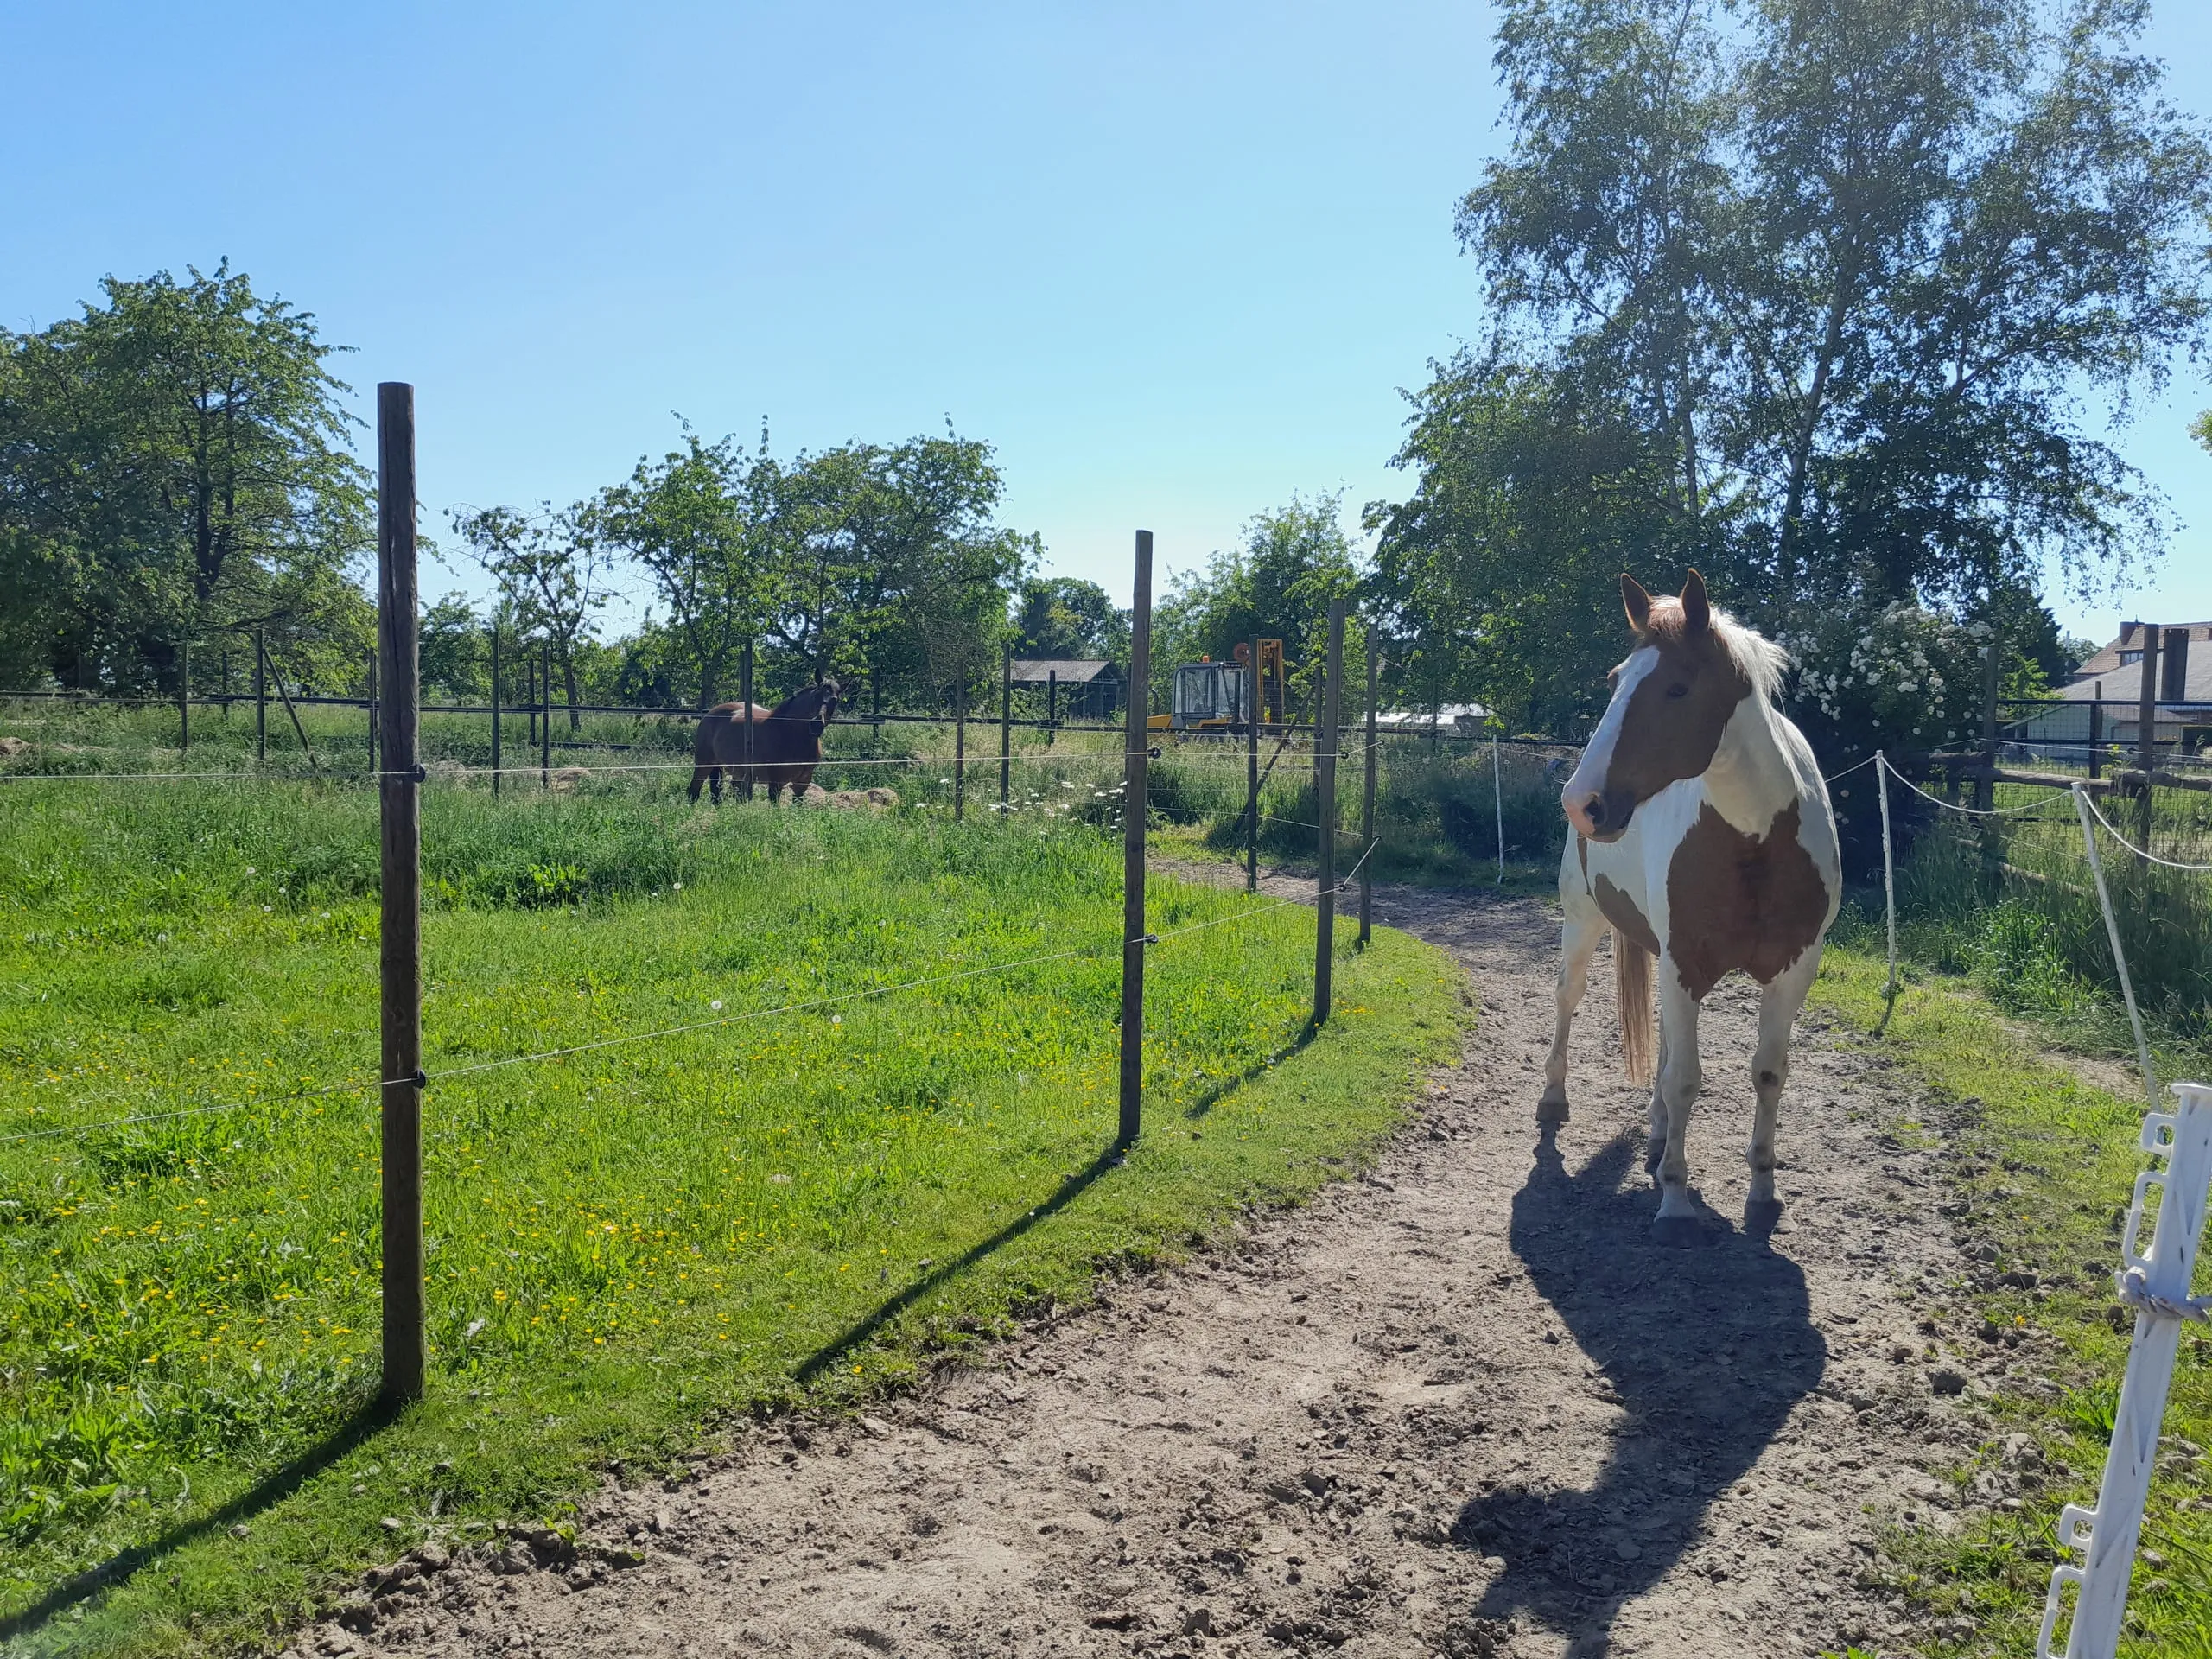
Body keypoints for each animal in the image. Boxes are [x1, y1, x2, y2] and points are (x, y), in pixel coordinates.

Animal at [688, 681, 842, 804]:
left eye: (835, 700)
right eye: (816, 697)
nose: (816, 725)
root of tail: (709, 714)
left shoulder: (803, 782)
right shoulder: (775, 781)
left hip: (736, 772)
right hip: (704, 764)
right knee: (694, 792)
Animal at [1544, 571, 1840, 1245]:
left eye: (1677, 687)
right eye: (1615, 680)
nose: (1582, 803)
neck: (1756, 842)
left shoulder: (1793, 972)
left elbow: (1767, 1073)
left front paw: (1763, 1191)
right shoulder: (1685, 966)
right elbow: (1685, 1077)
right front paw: (1675, 1201)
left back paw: (1656, 1137)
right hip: (1583, 922)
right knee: (1569, 1000)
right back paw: (1554, 1099)